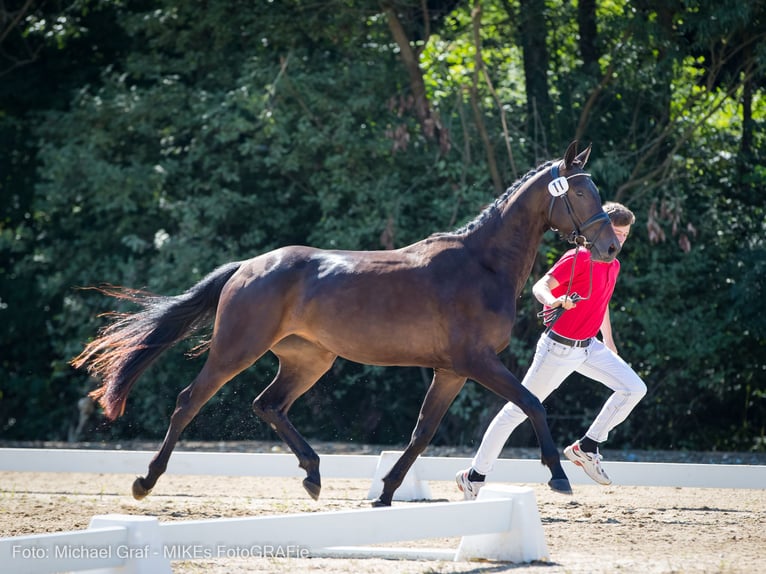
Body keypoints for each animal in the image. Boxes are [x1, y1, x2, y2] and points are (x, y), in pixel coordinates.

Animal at [73, 142, 624, 506]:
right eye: (580, 194)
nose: (609, 246)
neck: (482, 263)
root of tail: (248, 266)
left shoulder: (452, 370)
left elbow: (422, 432)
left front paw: (385, 494)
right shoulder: (477, 361)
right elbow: (532, 404)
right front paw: (558, 477)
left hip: (309, 359)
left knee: (268, 405)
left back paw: (314, 477)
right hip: (236, 349)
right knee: (190, 401)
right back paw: (145, 482)